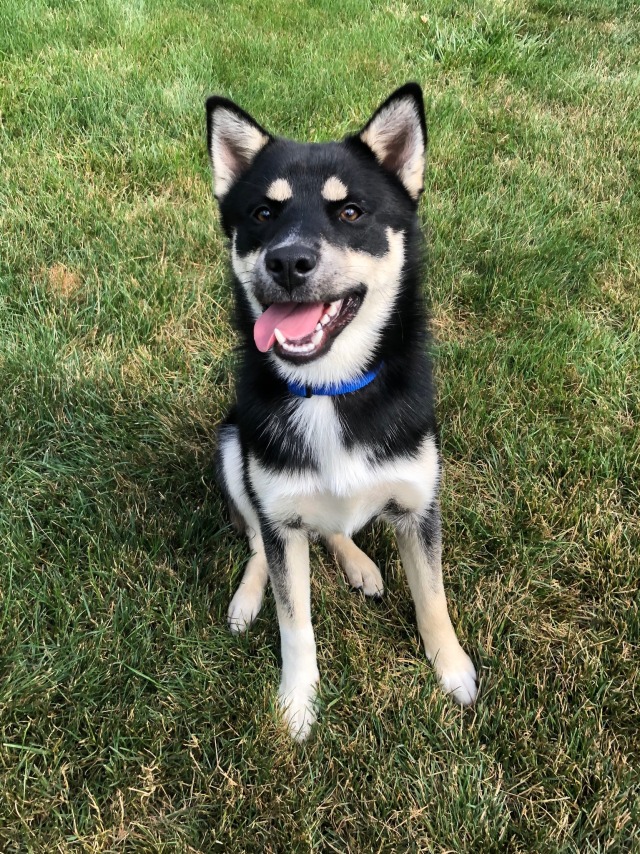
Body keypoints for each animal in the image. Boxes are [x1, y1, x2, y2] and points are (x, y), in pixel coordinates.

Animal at [205, 83, 476, 740]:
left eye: (350, 211)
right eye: (263, 214)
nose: (286, 261)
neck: (328, 389)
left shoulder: (419, 503)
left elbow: (433, 595)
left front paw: (453, 669)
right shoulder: (278, 513)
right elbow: (294, 619)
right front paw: (298, 702)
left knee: (335, 528)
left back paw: (361, 565)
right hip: (232, 445)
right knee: (258, 542)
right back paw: (248, 598)